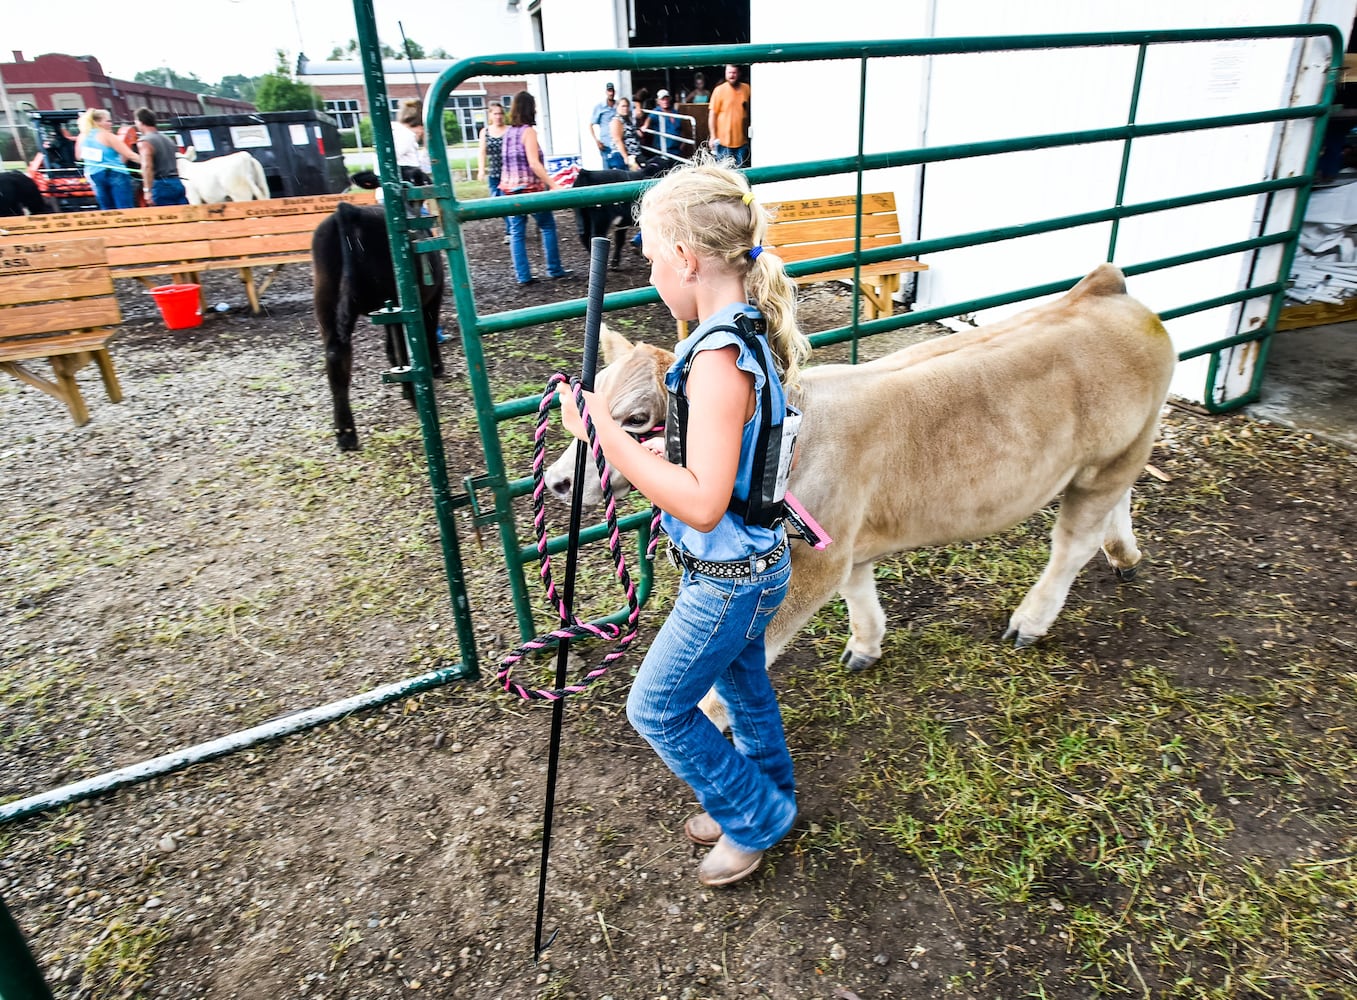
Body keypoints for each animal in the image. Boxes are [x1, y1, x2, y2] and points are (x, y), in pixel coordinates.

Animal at [312, 185, 445, 450]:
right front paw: (436, 368)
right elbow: (426, 333)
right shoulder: (434, 295)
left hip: (327, 302)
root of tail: (348, 210)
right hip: (396, 300)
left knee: (336, 357)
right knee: (404, 352)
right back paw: (416, 399)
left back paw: (346, 433)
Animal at [545, 261, 1172, 727]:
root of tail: (1102, 290)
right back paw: (1124, 554)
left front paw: (712, 716)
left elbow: (757, 651)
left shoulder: (811, 560)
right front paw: (867, 644)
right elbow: (858, 589)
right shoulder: (844, 539)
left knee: (1072, 543)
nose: (554, 482)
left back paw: (1033, 618)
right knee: (1118, 504)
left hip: (1105, 460)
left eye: (636, 419)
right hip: (1123, 451)